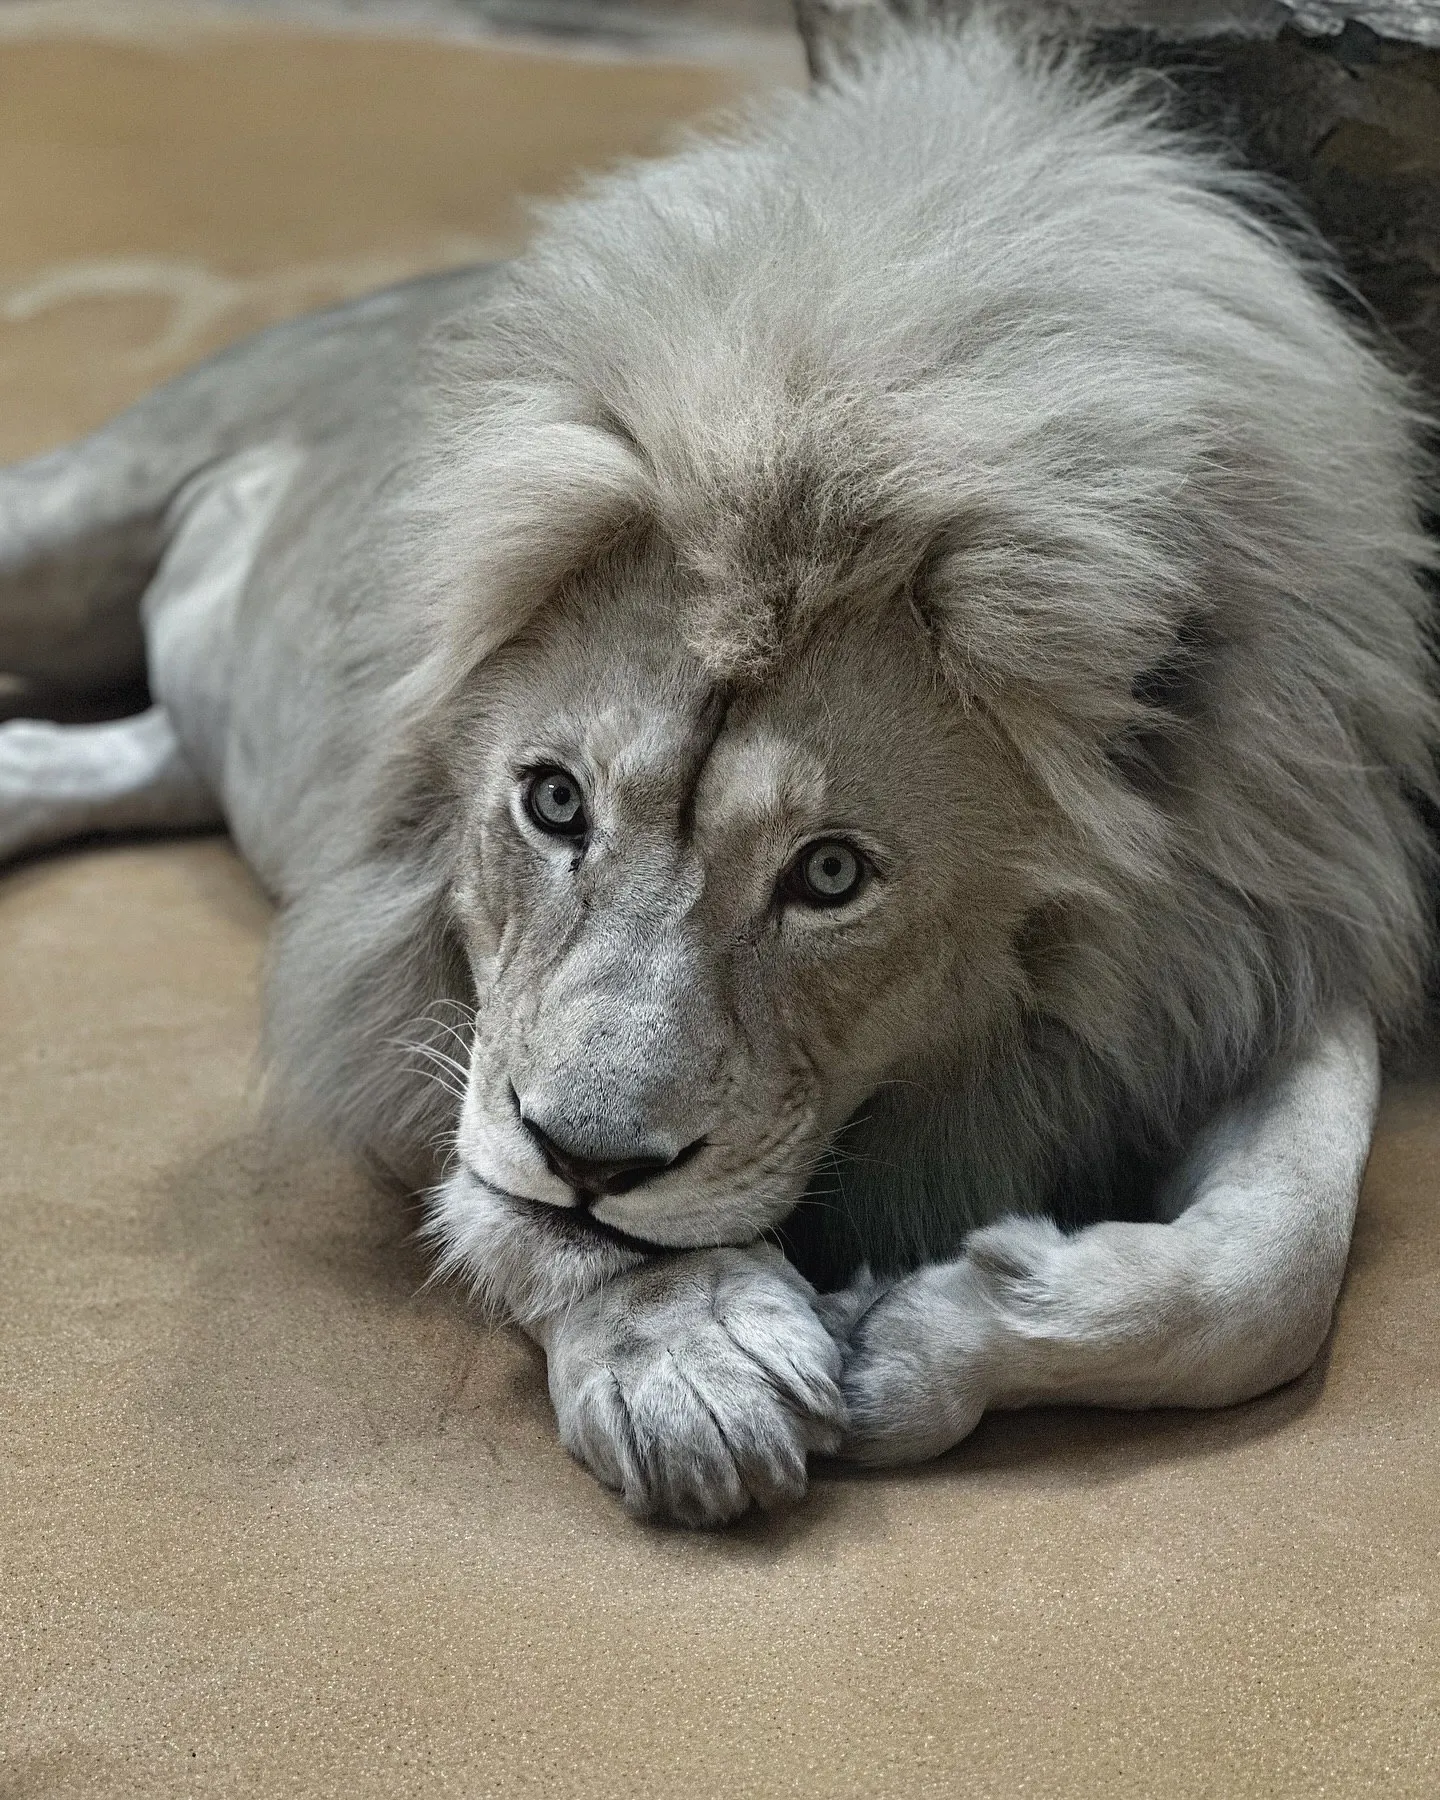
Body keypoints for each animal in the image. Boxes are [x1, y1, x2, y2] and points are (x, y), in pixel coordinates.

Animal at [1, 12, 1435, 1527]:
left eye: (831, 875)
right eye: (553, 801)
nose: (587, 1158)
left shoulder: (1259, 935)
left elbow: (1280, 1260)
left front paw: (924, 1336)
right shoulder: (392, 950)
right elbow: (510, 1193)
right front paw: (685, 1352)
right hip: (79, 512)